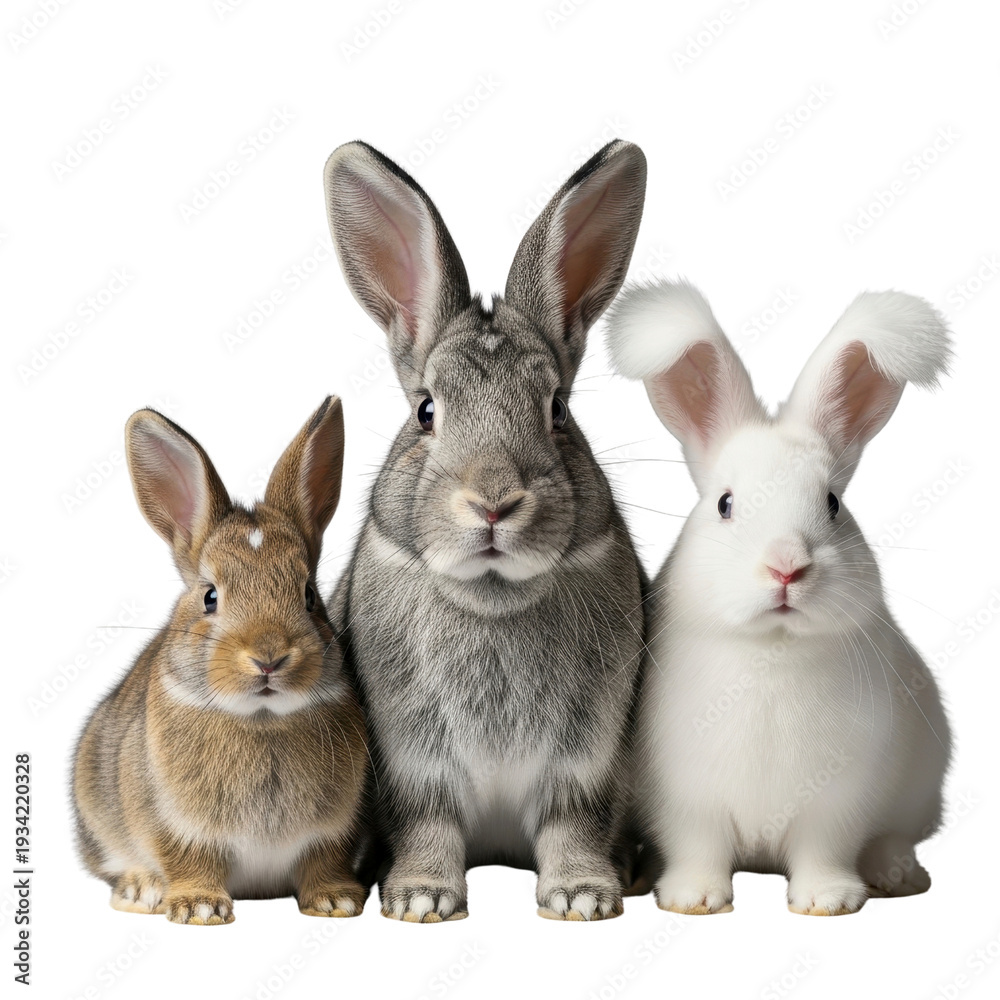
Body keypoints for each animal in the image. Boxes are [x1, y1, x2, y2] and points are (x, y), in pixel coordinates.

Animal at [72, 397, 370, 925]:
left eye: (309, 595)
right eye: (210, 596)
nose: (269, 658)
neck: (262, 719)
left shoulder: (334, 830)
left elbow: (324, 861)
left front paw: (335, 902)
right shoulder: (175, 826)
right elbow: (188, 859)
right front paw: (200, 909)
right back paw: (140, 892)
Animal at [322, 139, 648, 921]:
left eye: (557, 410)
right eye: (426, 411)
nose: (495, 503)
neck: (494, 593)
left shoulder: (585, 754)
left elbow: (572, 820)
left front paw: (583, 897)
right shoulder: (413, 757)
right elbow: (428, 821)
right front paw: (420, 900)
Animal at [606, 281, 953, 916]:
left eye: (833, 504)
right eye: (725, 503)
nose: (787, 565)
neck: (772, 649)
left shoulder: (837, 805)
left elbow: (824, 852)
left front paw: (827, 902)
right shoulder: (687, 803)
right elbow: (698, 848)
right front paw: (692, 898)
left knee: (894, 837)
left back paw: (897, 876)